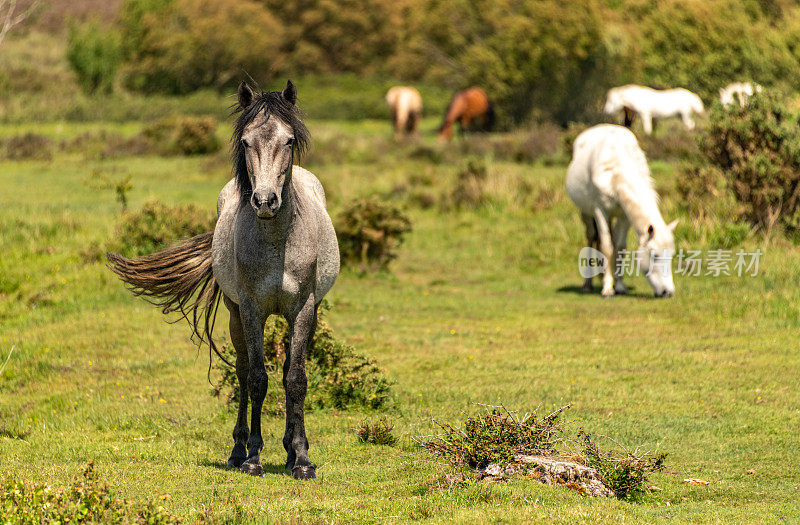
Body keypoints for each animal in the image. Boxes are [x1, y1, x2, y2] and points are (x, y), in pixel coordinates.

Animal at [108, 80, 340, 476]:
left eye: (289, 140)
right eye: (246, 141)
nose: (265, 201)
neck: (277, 242)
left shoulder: (304, 308)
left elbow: (295, 379)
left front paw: (302, 459)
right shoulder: (250, 308)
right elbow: (257, 379)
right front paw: (254, 458)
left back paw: (288, 450)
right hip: (234, 313)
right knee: (245, 372)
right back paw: (237, 451)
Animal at [564, 122, 680, 294]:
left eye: (671, 254)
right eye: (655, 255)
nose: (668, 292)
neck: (615, 170)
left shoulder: (625, 216)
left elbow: (619, 247)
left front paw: (619, 286)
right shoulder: (600, 211)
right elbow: (606, 247)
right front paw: (607, 289)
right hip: (586, 212)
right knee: (591, 237)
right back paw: (588, 283)